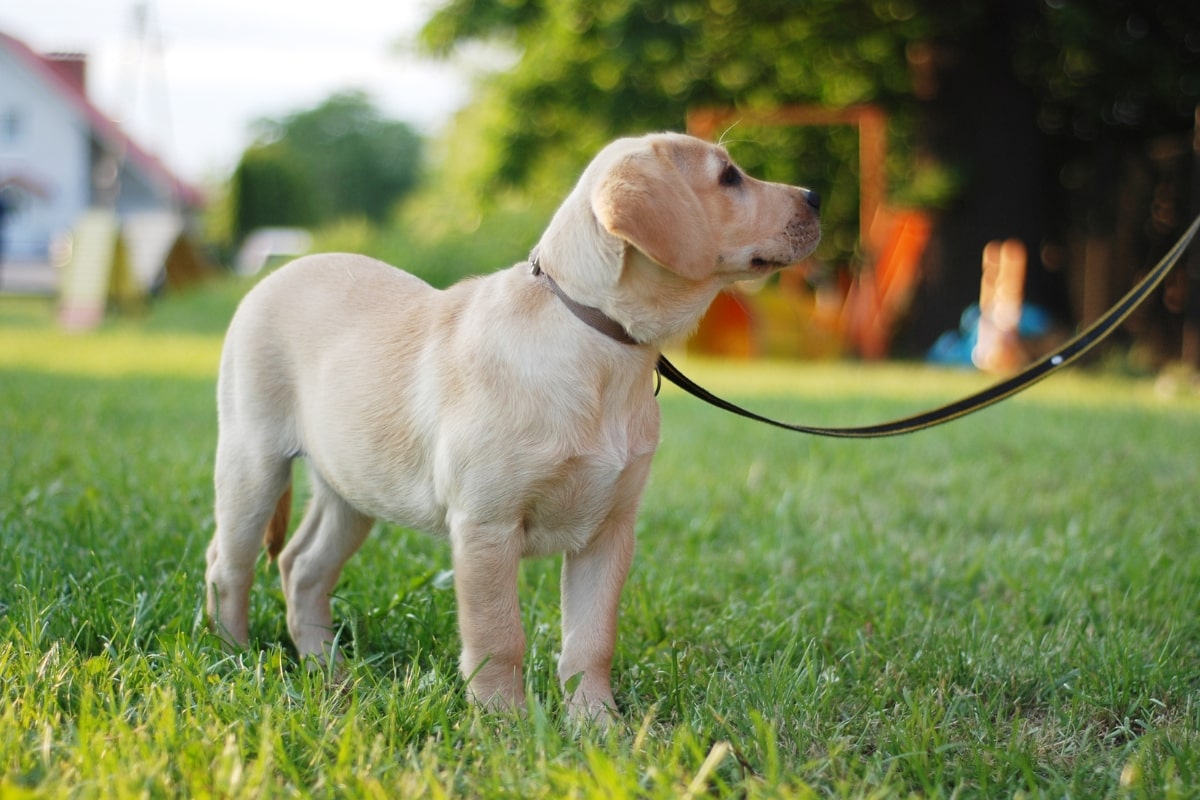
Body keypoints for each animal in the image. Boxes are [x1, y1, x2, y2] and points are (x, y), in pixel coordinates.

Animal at [208, 131, 825, 719]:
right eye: (728, 177)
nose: (816, 195)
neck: (599, 342)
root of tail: (281, 270)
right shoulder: (487, 525)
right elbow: (498, 637)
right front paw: (504, 724)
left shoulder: (611, 530)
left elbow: (591, 641)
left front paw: (597, 725)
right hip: (253, 463)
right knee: (228, 565)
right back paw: (234, 659)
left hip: (354, 486)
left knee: (302, 566)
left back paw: (329, 670)